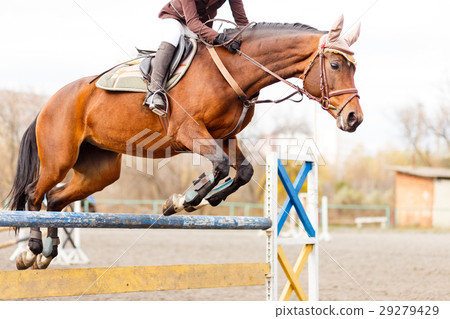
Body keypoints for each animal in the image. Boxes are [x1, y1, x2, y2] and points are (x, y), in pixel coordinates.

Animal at [6, 15, 362, 270]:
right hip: (58, 159)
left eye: (354, 67)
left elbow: (242, 172)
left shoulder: (224, 136)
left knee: (55, 199)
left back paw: (48, 253)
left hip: (99, 172)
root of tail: (49, 101)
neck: (235, 71)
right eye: (335, 65)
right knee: (35, 194)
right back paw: (32, 251)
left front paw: (202, 200)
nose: (354, 118)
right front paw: (185, 199)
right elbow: (220, 166)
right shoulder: (189, 132)